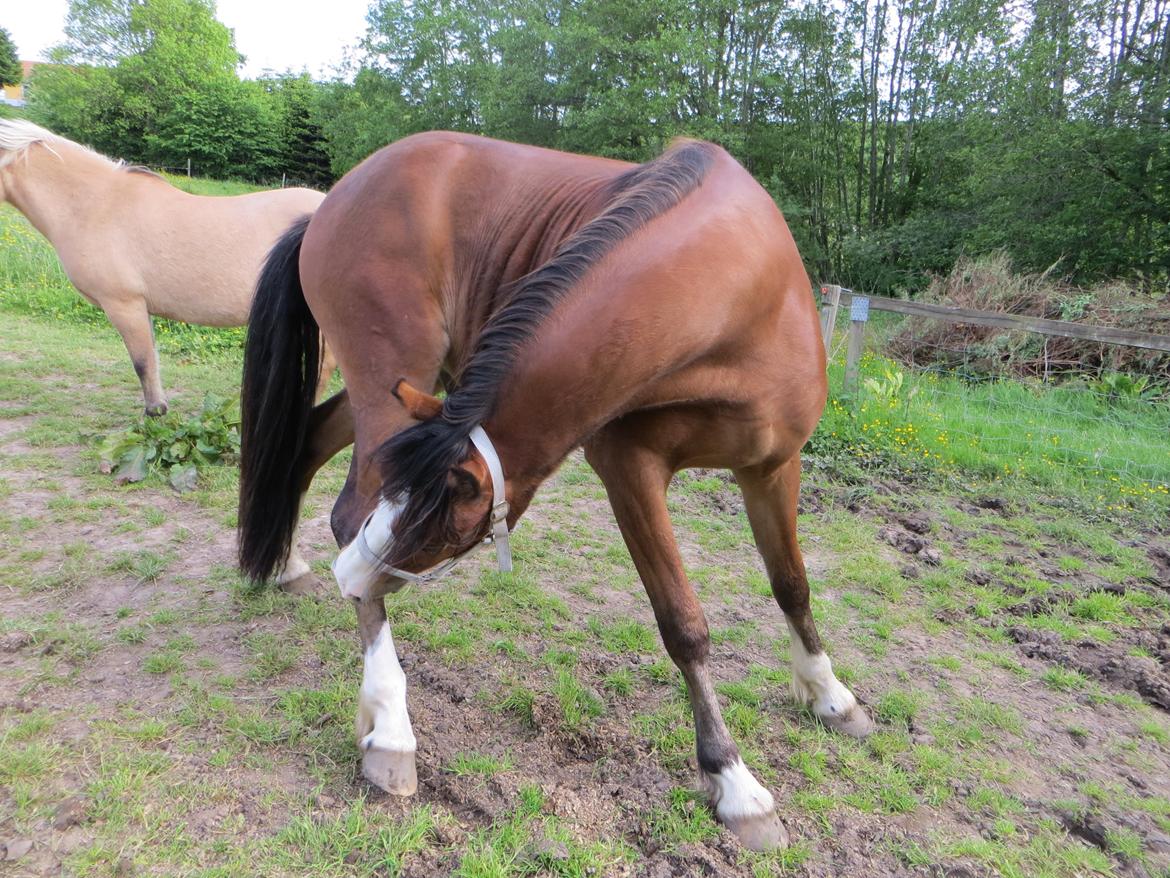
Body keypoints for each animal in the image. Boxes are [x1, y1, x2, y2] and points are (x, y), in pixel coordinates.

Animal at [236, 131, 873, 851]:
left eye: (457, 521)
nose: (349, 579)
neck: (744, 295)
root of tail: (328, 204)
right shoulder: (630, 468)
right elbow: (684, 625)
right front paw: (735, 783)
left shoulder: (774, 466)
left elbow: (792, 584)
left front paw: (828, 694)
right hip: (393, 377)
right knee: (347, 513)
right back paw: (392, 731)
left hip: (415, 396)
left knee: (309, 448)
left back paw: (290, 565)